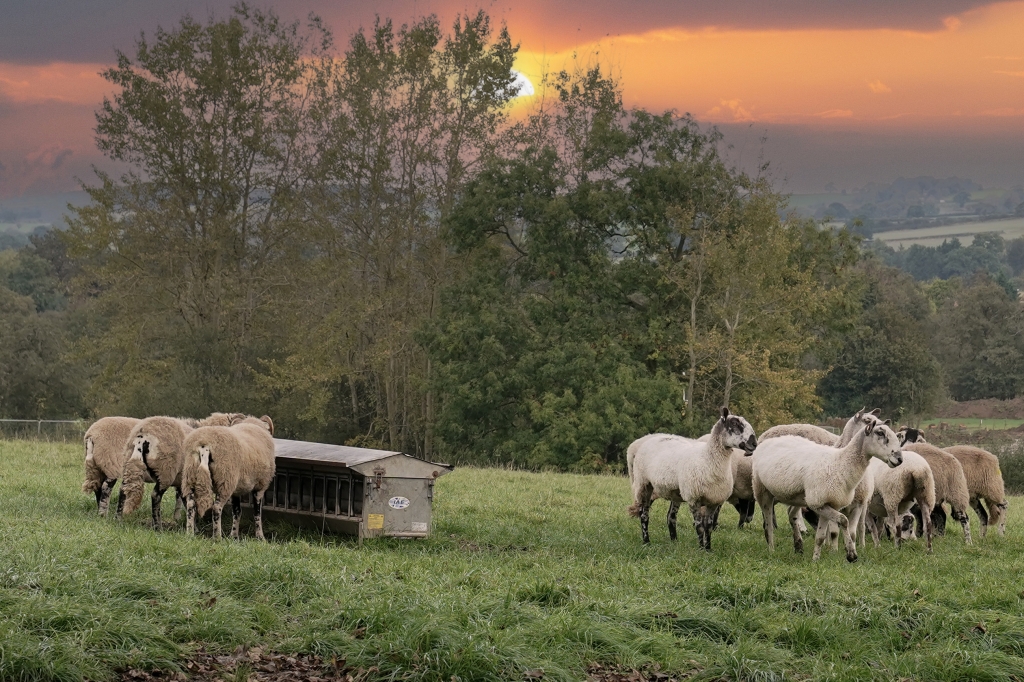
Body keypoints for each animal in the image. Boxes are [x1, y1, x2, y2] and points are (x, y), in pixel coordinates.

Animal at [627, 407, 757, 550]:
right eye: (734, 423)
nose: (754, 443)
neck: (707, 459)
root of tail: (651, 438)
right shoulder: (694, 498)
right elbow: (699, 526)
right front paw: (701, 549)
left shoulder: (713, 500)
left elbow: (708, 527)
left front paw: (708, 549)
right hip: (644, 484)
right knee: (644, 515)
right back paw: (646, 542)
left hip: (676, 492)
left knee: (671, 517)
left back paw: (674, 542)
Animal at [752, 421, 902, 562]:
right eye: (880, 433)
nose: (900, 459)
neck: (841, 463)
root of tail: (766, 441)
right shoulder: (818, 503)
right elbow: (843, 520)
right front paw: (851, 555)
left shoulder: (827, 503)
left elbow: (821, 536)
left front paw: (816, 559)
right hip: (762, 490)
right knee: (768, 525)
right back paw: (771, 550)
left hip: (799, 496)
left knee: (791, 515)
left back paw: (798, 546)